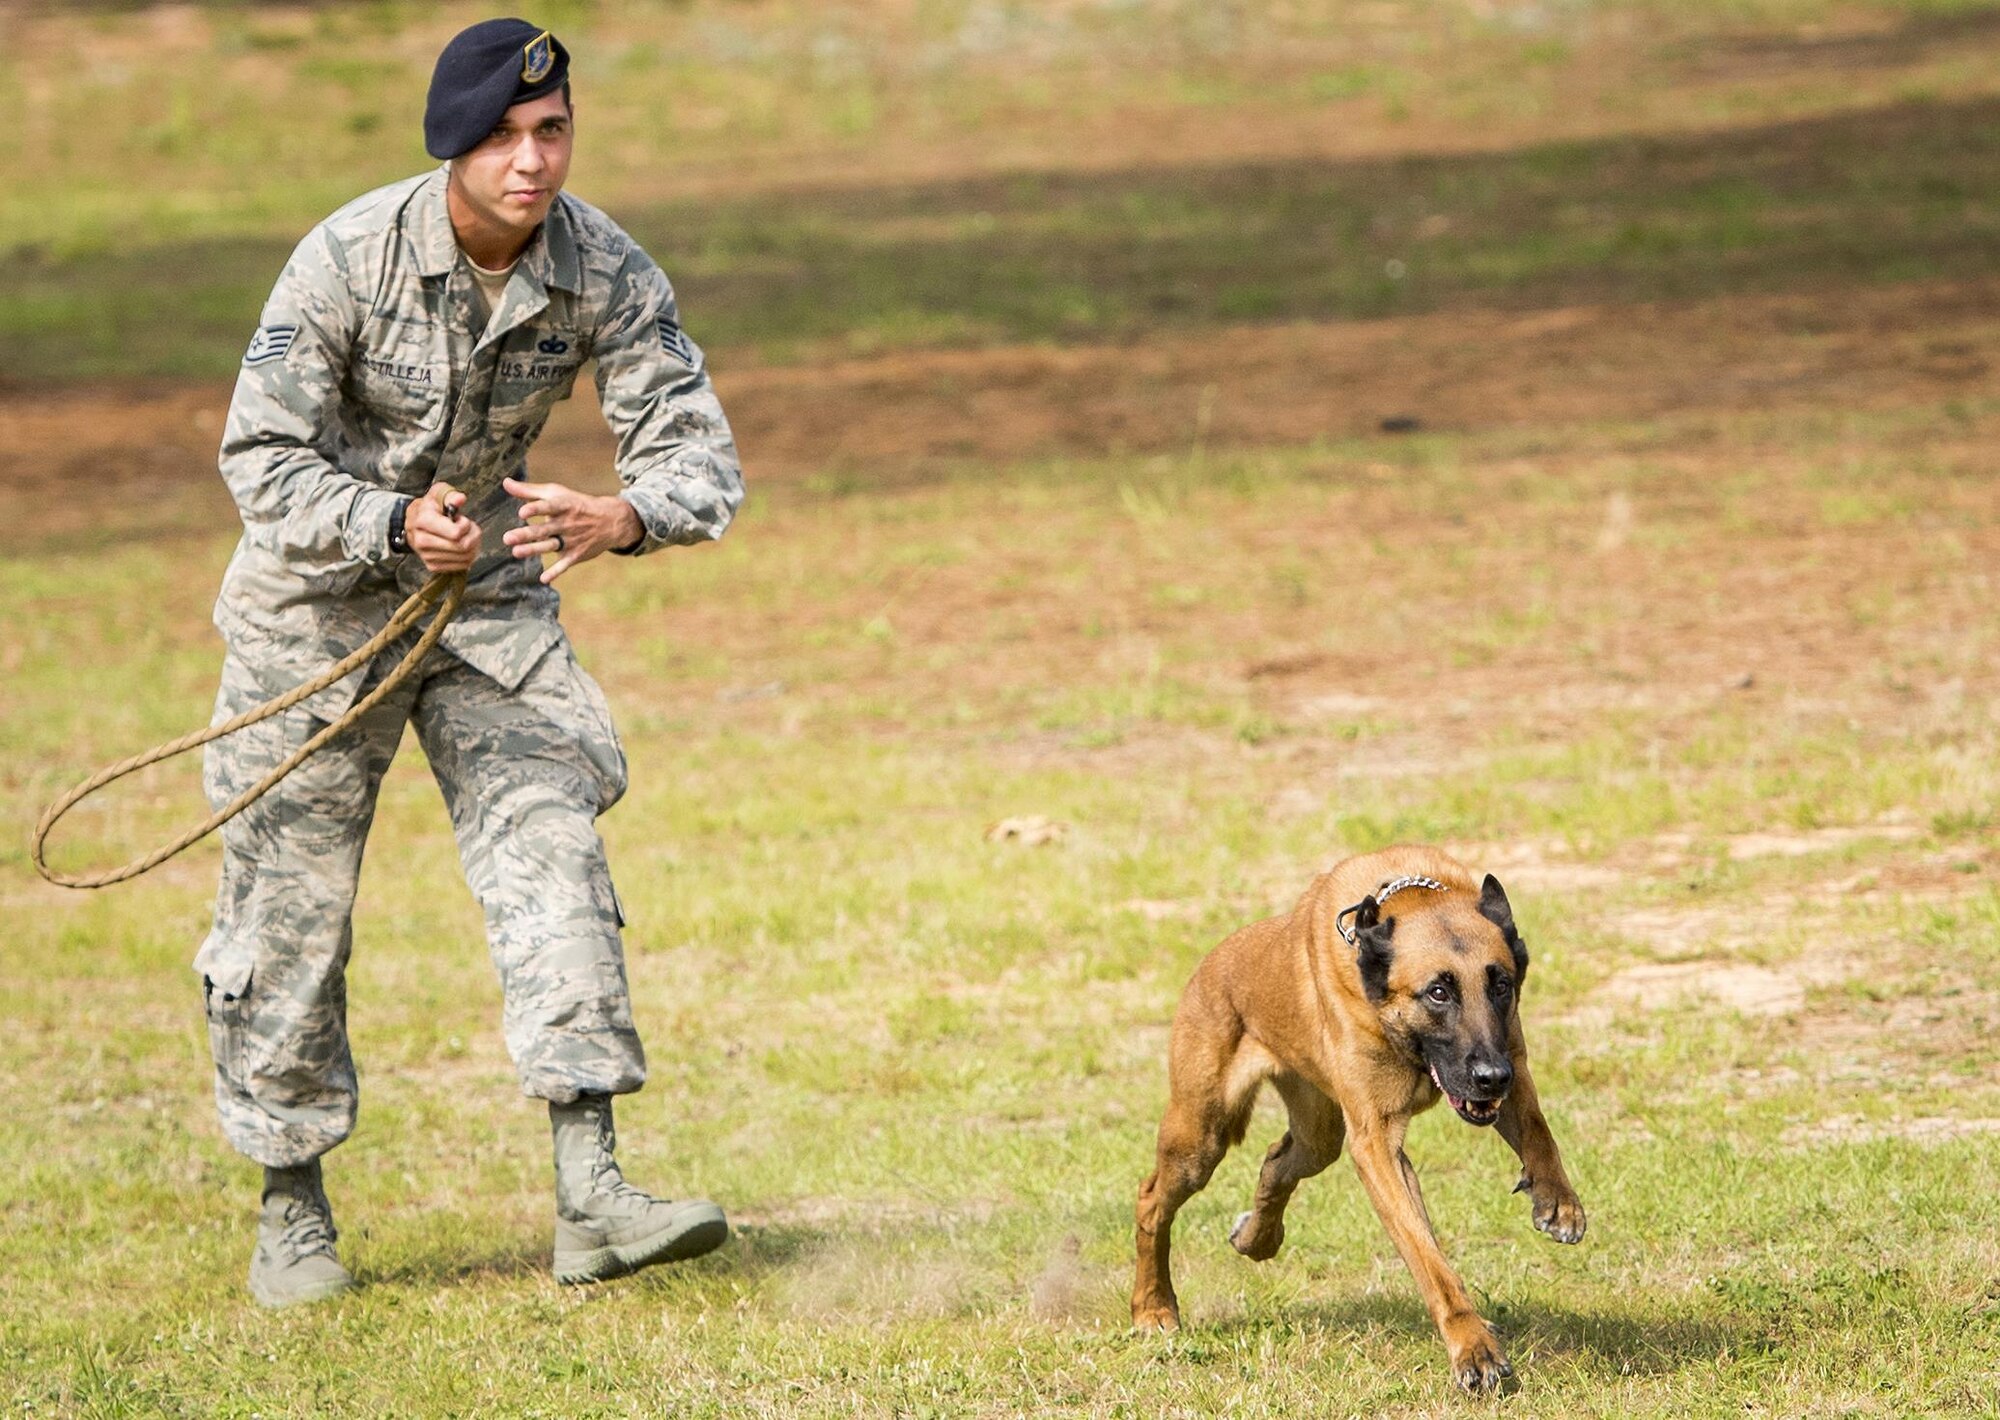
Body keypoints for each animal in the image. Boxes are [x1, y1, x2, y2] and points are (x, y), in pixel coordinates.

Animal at [1136, 852, 1584, 1400]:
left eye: (1500, 985)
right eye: (1438, 993)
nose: (1491, 1078)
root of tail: (1212, 962)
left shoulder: (1511, 1060)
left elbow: (1539, 1131)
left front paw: (1558, 1200)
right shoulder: (1376, 1145)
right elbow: (1429, 1260)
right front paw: (1474, 1350)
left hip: (1317, 1136)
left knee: (1277, 1161)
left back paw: (1256, 1238)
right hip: (1200, 1137)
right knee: (1152, 1200)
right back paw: (1153, 1307)